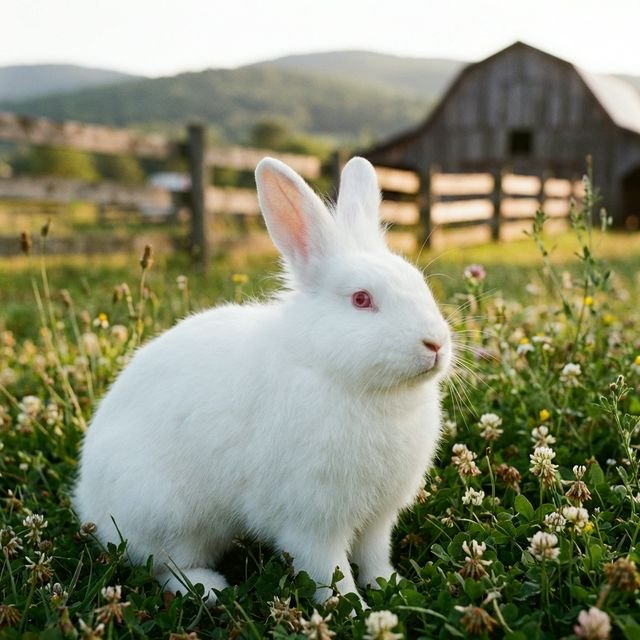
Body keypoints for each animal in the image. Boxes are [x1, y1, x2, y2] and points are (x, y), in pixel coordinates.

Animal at [73, 156, 452, 607]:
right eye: (362, 299)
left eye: (419, 282)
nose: (436, 343)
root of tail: (88, 505)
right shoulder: (312, 520)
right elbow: (329, 571)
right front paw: (354, 610)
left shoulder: (378, 518)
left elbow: (374, 557)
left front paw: (390, 589)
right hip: (168, 516)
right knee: (163, 565)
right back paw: (210, 588)